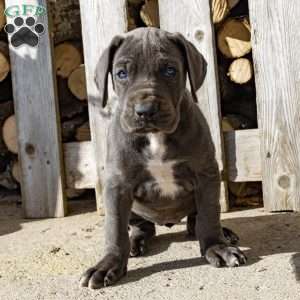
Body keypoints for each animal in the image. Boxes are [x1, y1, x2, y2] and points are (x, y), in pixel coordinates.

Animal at [80, 27, 246, 288]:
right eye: (121, 73)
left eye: (170, 70)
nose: (145, 111)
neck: (155, 136)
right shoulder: (118, 185)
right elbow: (115, 228)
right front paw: (108, 265)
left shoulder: (205, 173)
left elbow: (209, 214)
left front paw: (216, 247)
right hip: (134, 208)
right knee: (141, 227)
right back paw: (136, 242)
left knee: (196, 219)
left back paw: (222, 233)